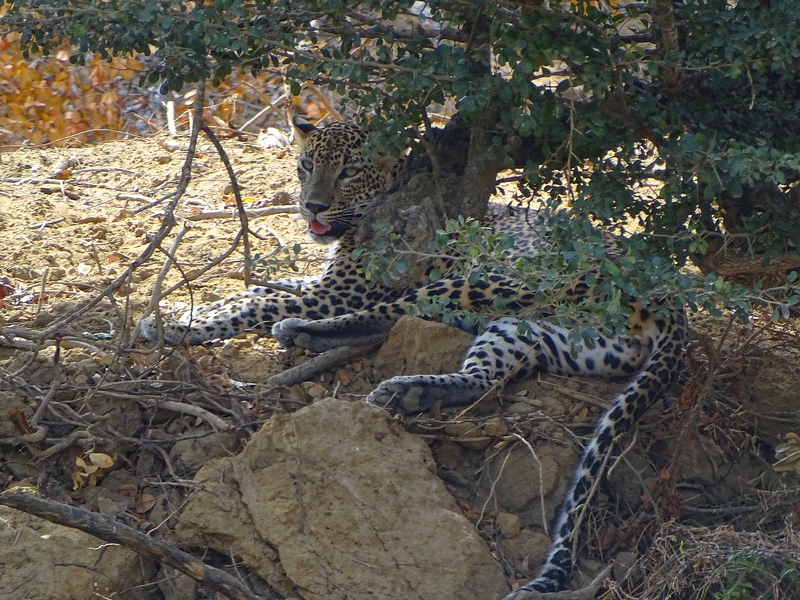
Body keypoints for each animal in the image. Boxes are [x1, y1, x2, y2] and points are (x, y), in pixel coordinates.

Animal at [139, 115, 688, 596]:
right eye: (305, 165)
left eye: (348, 172)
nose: (311, 206)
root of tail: (669, 300)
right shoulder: (323, 282)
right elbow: (263, 288)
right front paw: (186, 308)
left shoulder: (339, 292)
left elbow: (259, 301)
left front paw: (179, 322)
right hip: (533, 331)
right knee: (481, 377)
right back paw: (406, 390)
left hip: (481, 280)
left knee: (387, 315)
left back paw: (304, 334)